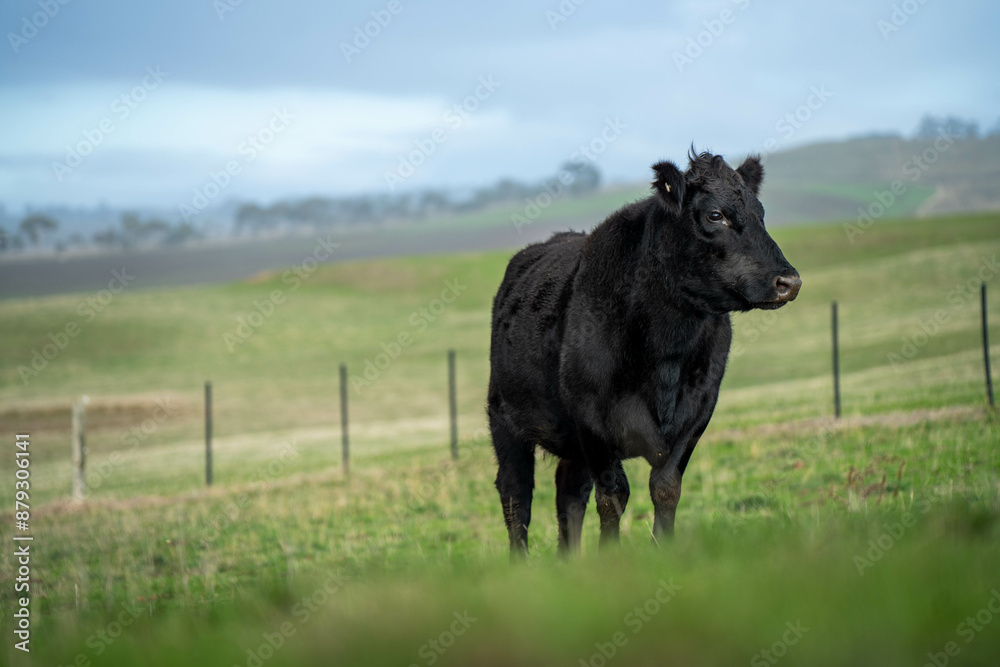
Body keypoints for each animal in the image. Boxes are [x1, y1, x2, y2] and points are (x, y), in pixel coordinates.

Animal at [487, 150, 801, 555]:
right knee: (516, 494)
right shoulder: (591, 419)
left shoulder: (697, 412)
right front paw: (611, 558)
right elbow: (613, 495)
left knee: (568, 494)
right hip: (504, 417)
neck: (665, 352)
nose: (788, 281)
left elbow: (666, 489)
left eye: (760, 212)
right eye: (715, 215)